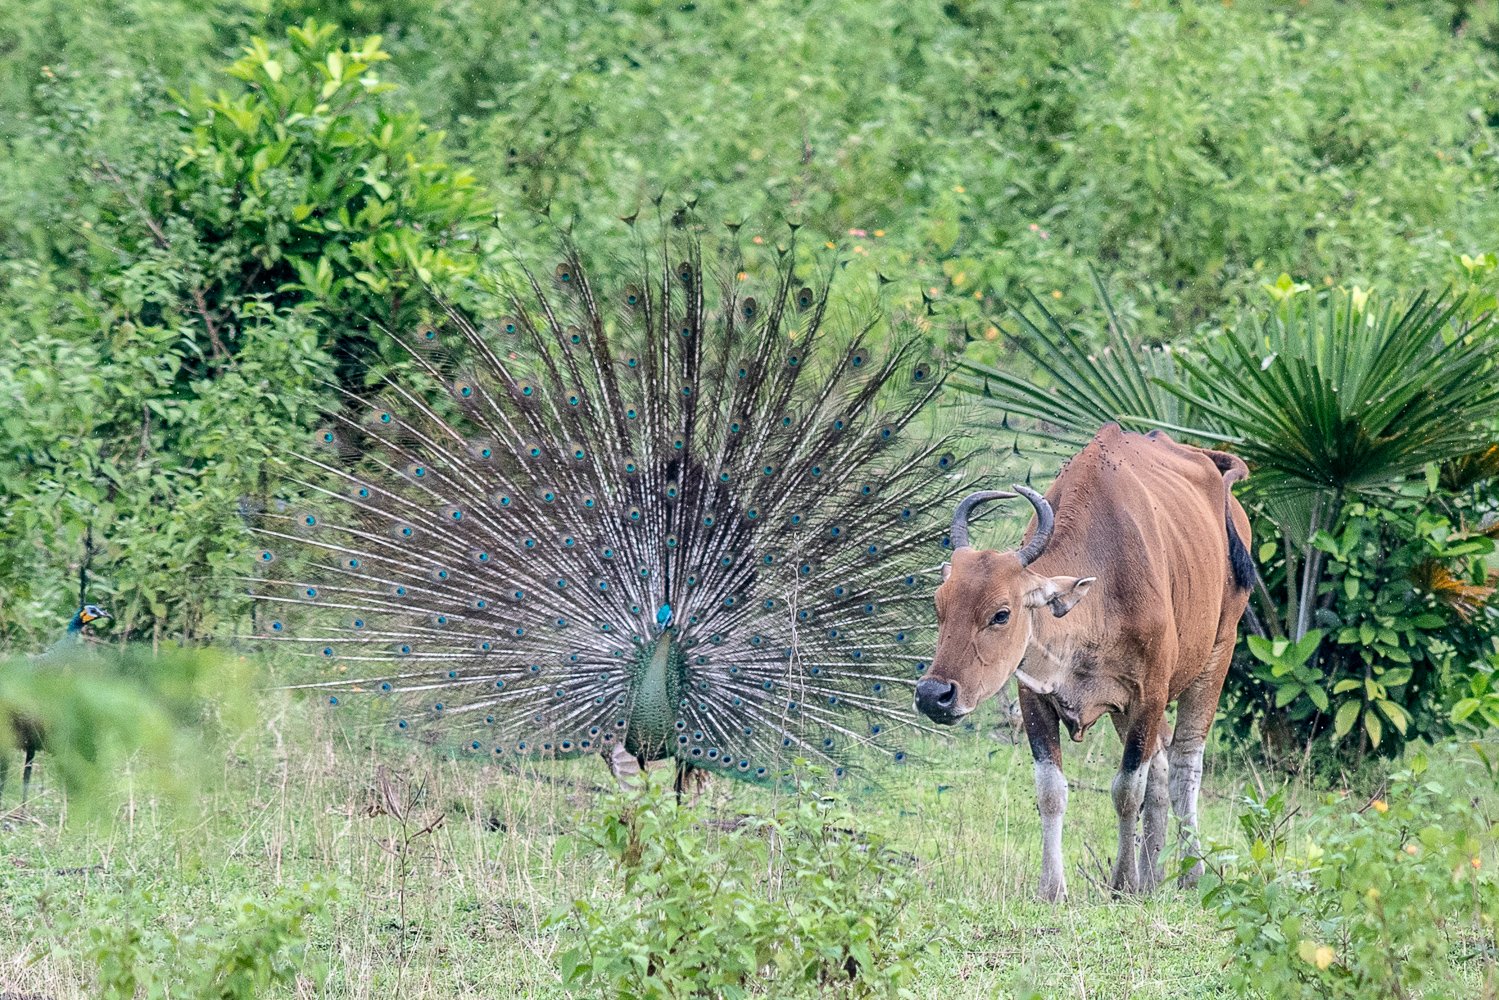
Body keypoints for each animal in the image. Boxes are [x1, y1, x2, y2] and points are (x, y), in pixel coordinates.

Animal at [911, 422, 1253, 899]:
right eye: (938, 605)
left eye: (1001, 613)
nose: (933, 695)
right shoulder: (1035, 697)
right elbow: (1051, 791)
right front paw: (1054, 888)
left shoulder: (1148, 696)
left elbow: (1127, 790)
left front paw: (1123, 881)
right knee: (1161, 767)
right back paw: (1153, 874)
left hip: (1216, 656)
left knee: (1184, 763)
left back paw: (1190, 873)